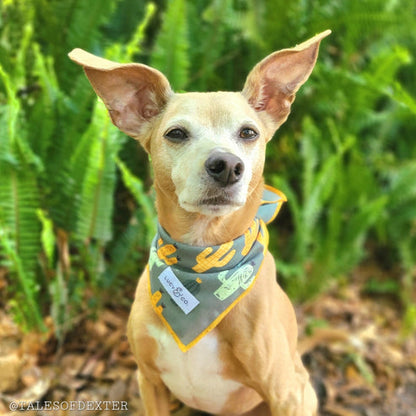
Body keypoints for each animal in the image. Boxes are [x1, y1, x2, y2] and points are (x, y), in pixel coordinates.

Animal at [69, 30, 332, 416]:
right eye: (176, 134)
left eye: (249, 133)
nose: (227, 165)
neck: (201, 259)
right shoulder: (149, 381)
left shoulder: (287, 393)